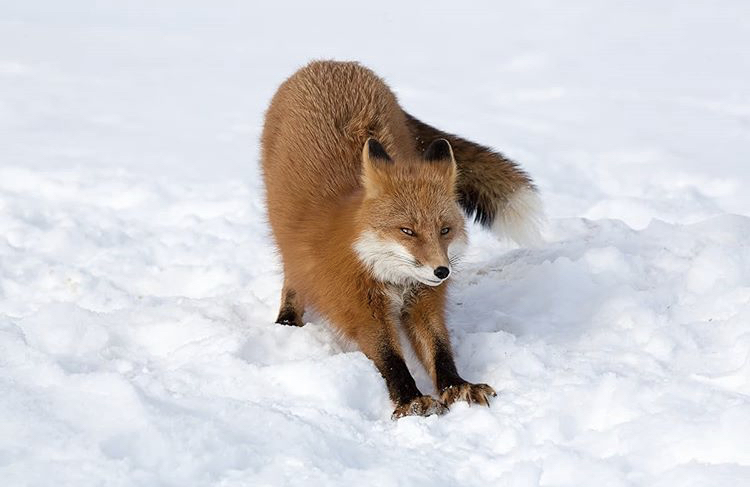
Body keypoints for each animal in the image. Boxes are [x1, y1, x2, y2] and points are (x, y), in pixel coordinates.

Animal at [262, 61, 544, 420]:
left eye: (444, 230)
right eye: (407, 231)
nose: (442, 272)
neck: (391, 277)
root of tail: (330, 62)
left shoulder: (423, 300)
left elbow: (438, 349)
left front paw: (456, 387)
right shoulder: (360, 306)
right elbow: (390, 358)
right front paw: (410, 400)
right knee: (291, 271)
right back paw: (287, 320)